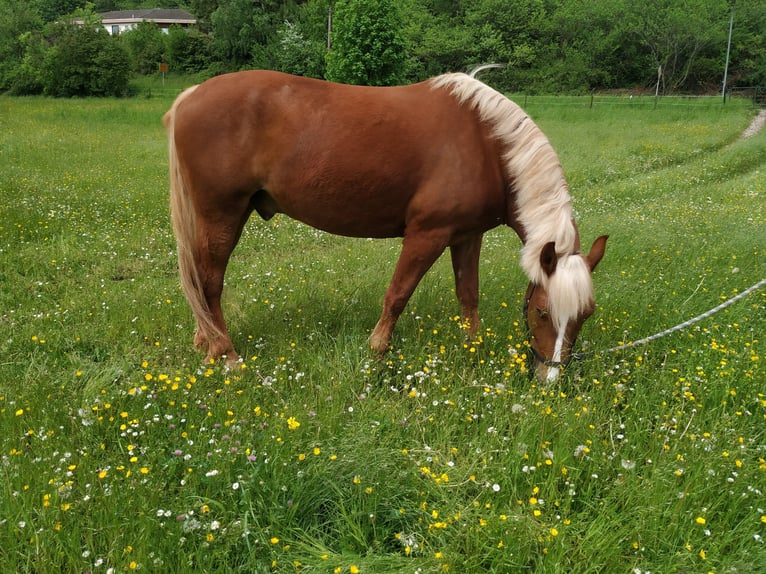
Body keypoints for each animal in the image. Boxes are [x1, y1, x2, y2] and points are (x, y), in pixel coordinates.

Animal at [165, 71, 608, 382]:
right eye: (541, 313)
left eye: (585, 315)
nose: (549, 378)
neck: (486, 145)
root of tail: (190, 96)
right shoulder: (427, 235)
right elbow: (397, 294)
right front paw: (377, 351)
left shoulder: (466, 237)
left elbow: (469, 297)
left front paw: (473, 352)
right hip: (222, 214)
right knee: (209, 284)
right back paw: (226, 354)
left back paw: (206, 341)